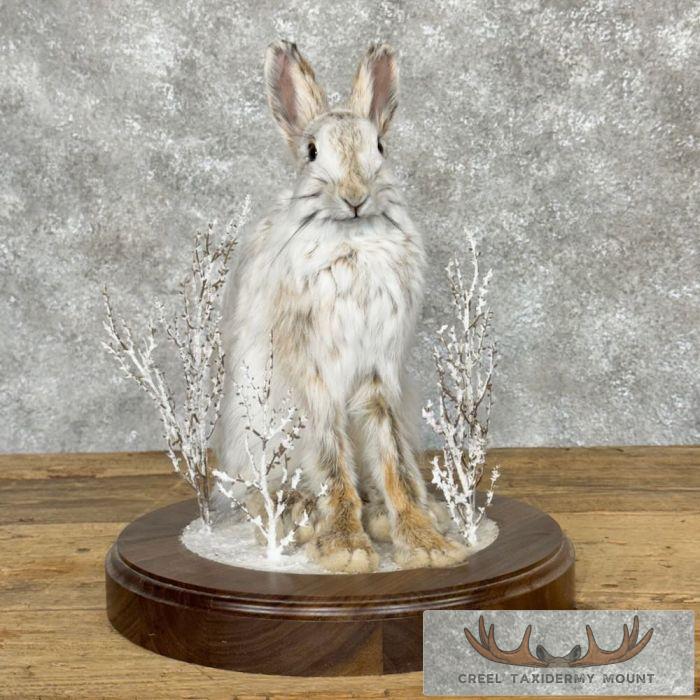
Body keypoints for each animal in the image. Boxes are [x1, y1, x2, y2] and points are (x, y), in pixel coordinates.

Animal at [213, 40, 467, 573]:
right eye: (312, 152)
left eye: (380, 148)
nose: (355, 196)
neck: (354, 240)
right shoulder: (316, 376)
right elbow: (332, 460)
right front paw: (346, 549)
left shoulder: (380, 374)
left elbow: (393, 461)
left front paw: (425, 545)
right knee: (261, 492)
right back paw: (298, 512)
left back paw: (404, 515)